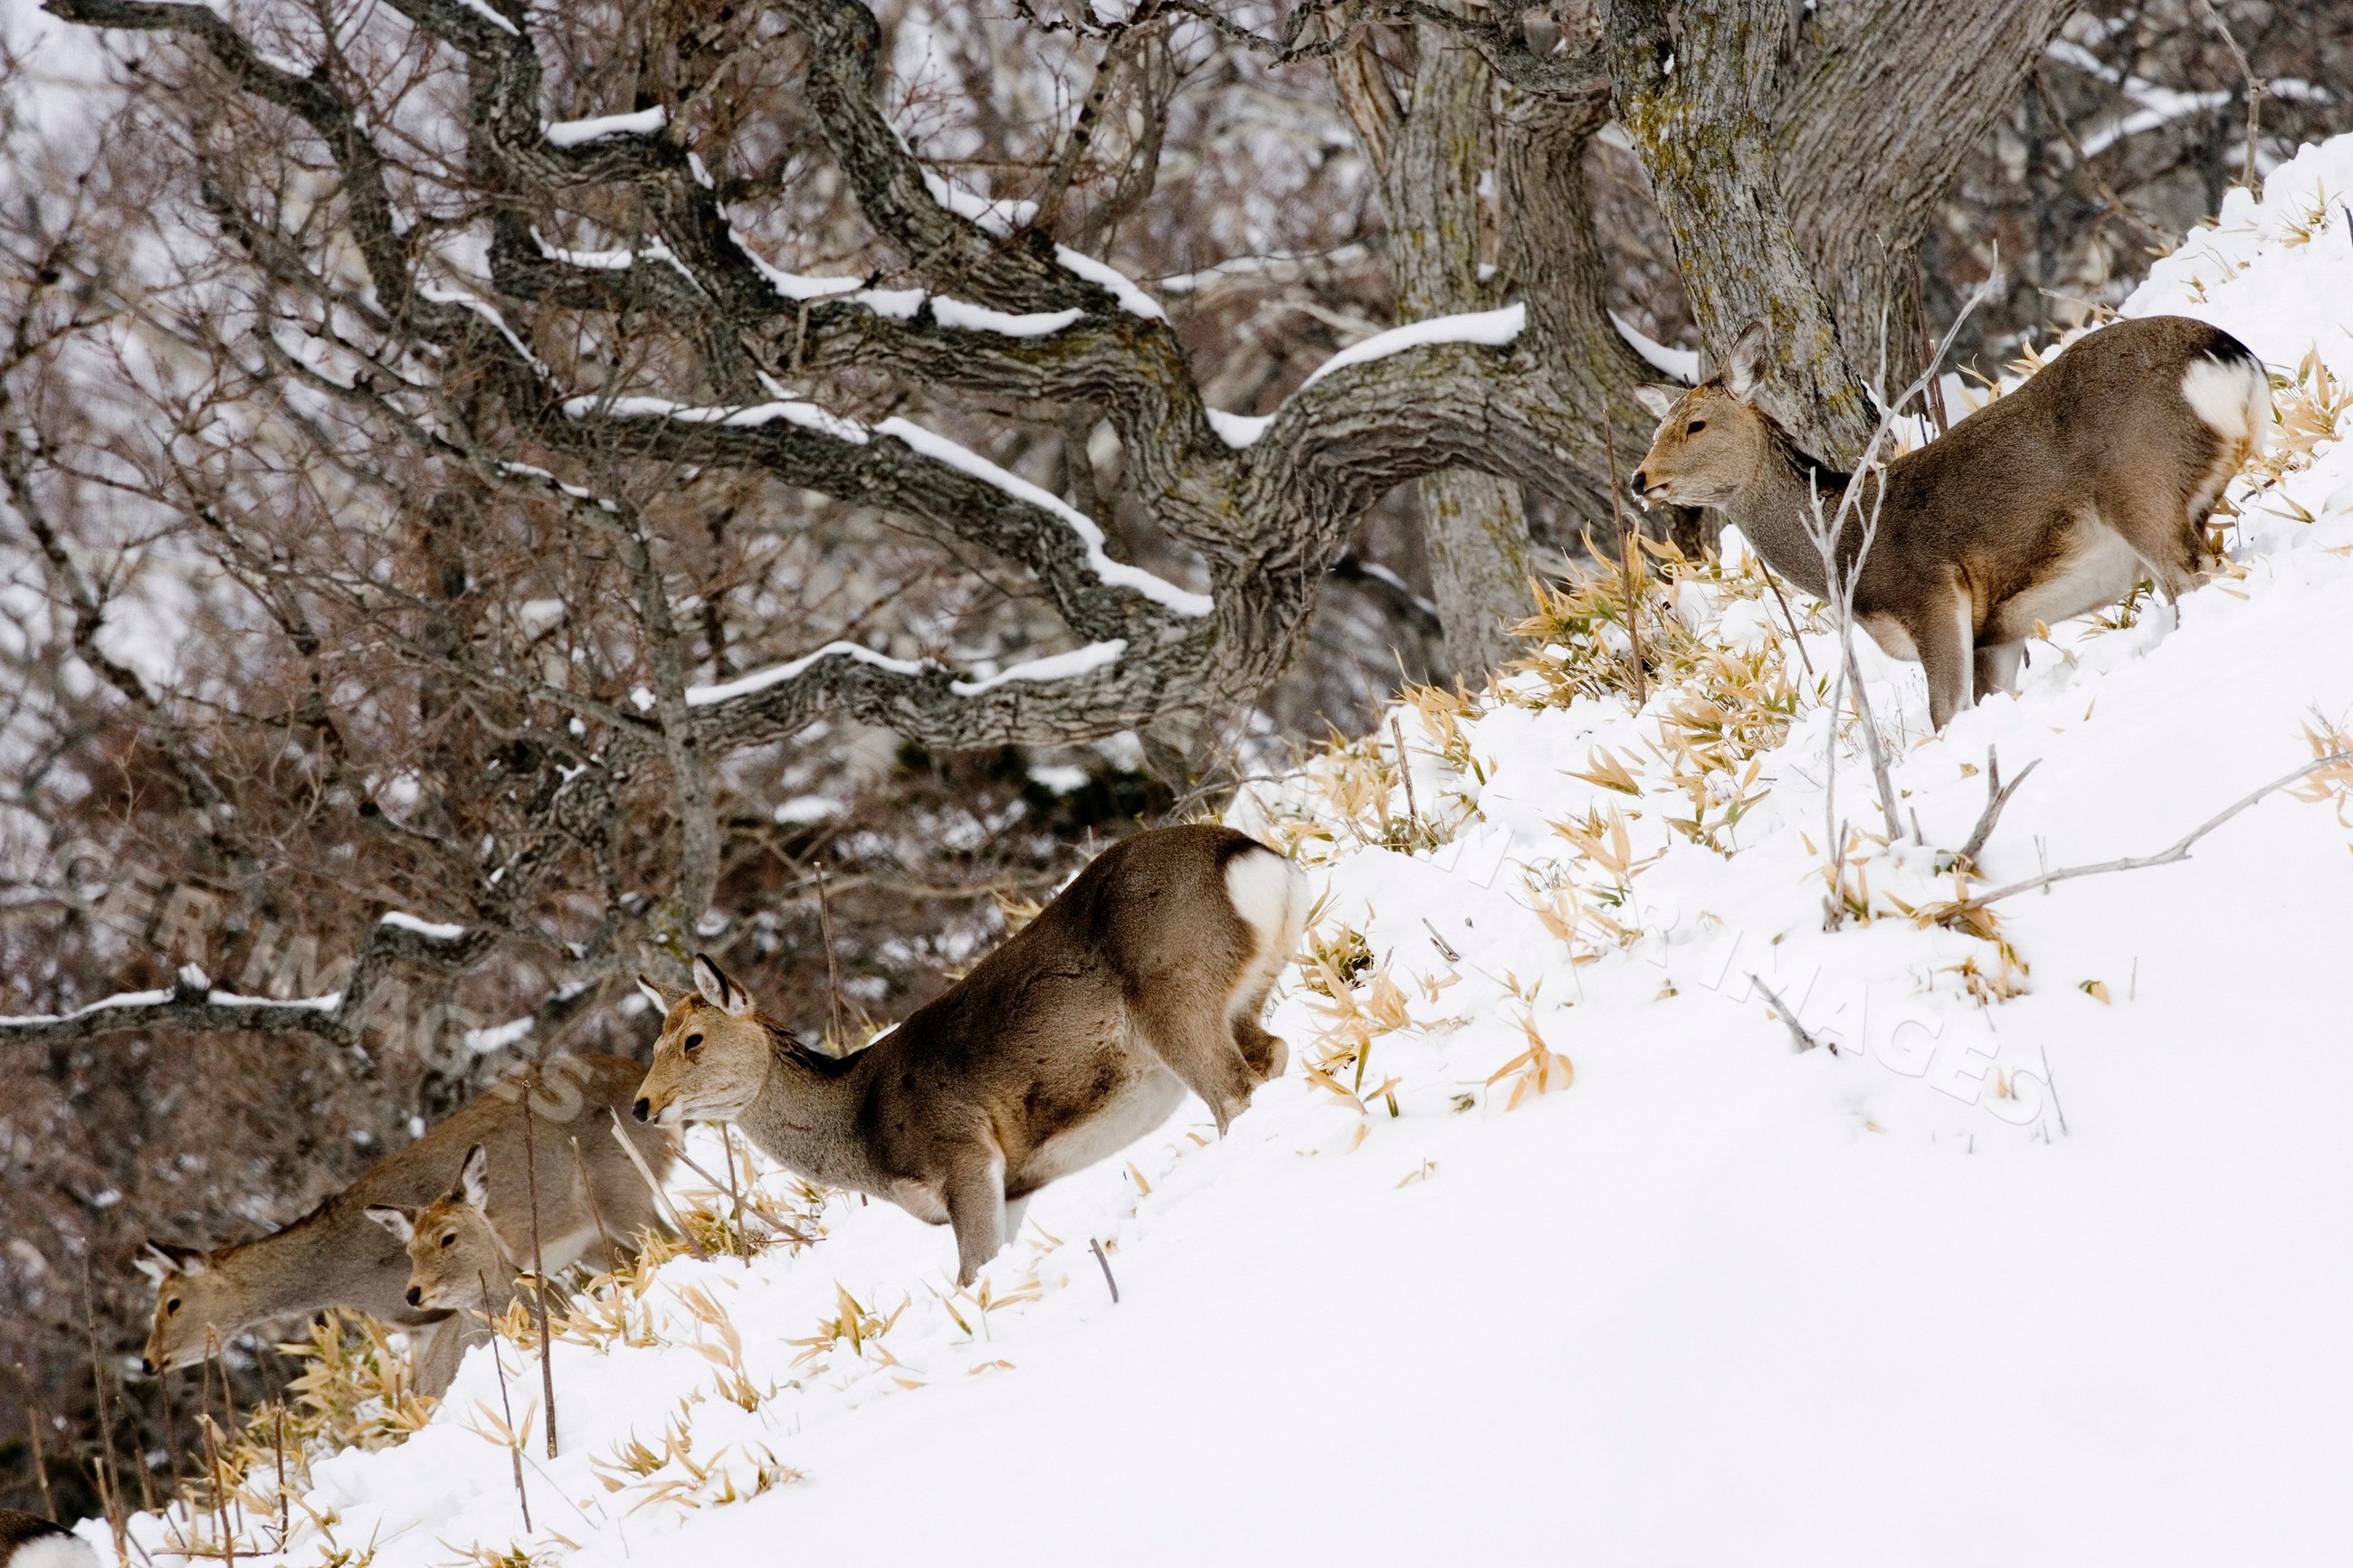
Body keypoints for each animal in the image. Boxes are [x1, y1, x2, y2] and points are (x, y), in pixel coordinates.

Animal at [138, 1054, 673, 1398]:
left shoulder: (442, 1313)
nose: (148, 1360)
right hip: (592, 1238)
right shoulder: (419, 1328)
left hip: (624, 1191)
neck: (344, 1274)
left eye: (172, 1303)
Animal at [632, 823, 1309, 1285]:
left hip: (1174, 996)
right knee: (1272, 1056)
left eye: (693, 1039)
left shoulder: (962, 1154)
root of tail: (1256, 860)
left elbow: (970, 1275)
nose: (641, 1106)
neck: (863, 1132)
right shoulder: (1016, 1184)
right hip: (1245, 995)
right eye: (656, 1042)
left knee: (1234, 1093)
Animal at [1629, 314, 2271, 730]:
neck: (1848, 545)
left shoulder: (1931, 594)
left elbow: (1946, 716)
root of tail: (2230, 358)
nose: (1640, 479)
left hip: (2142, 491)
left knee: (2200, 578)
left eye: (1695, 425)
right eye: (1658, 427)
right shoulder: (2000, 632)